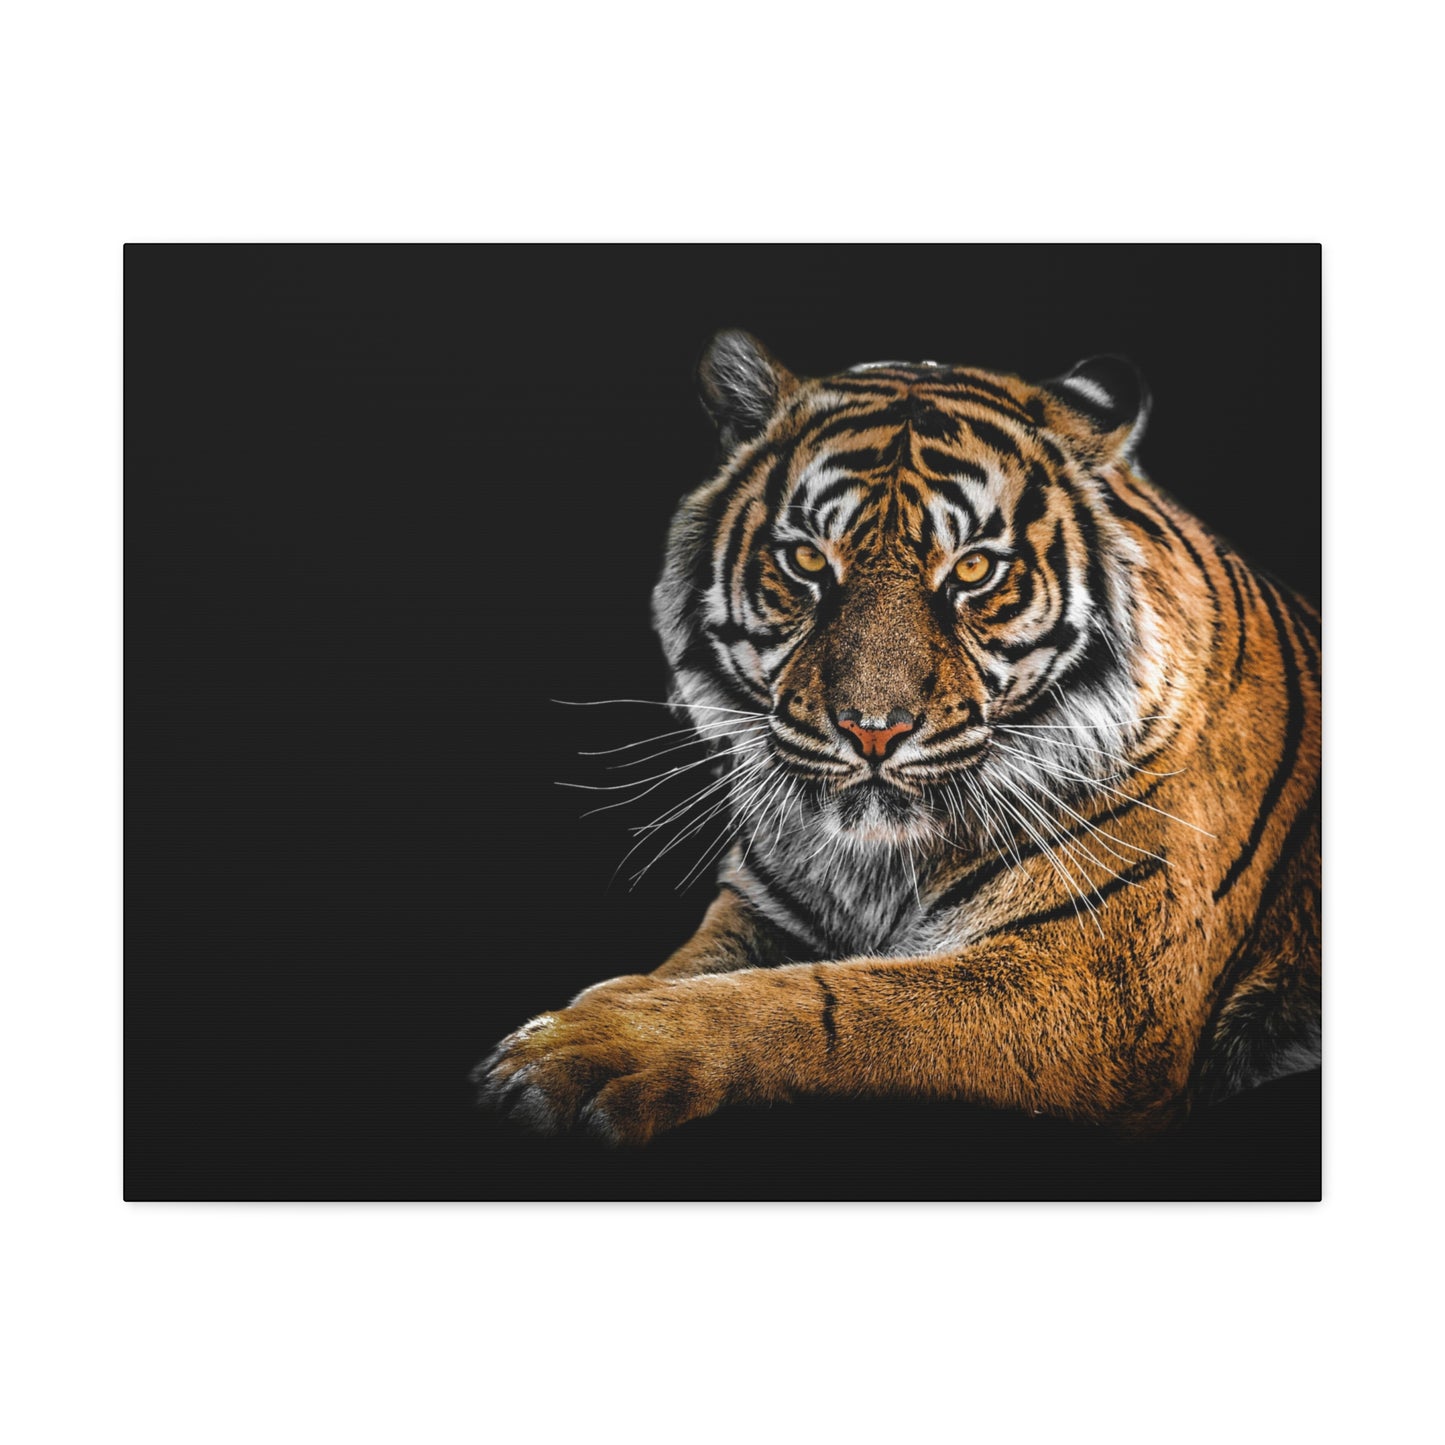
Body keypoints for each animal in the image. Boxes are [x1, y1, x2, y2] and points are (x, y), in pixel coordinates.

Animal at [475, 330, 1321, 1147]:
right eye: (806, 559)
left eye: (974, 569)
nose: (871, 731)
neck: (877, 865)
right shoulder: (760, 910)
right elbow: (686, 969)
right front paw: (585, 1012)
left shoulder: (1094, 983)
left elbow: (825, 1000)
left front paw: (582, 1049)